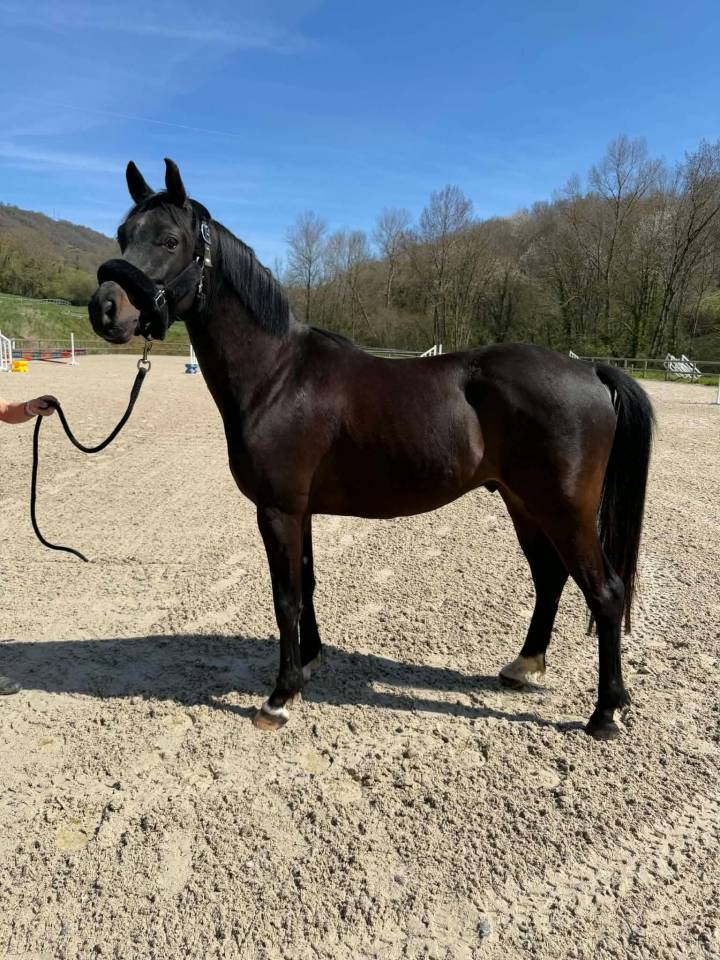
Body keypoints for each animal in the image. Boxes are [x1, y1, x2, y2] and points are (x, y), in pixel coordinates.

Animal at [88, 159, 654, 741]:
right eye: (123, 234)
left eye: (170, 239)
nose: (105, 309)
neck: (278, 374)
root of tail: (589, 369)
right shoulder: (300, 510)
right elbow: (307, 584)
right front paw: (308, 665)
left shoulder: (277, 509)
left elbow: (285, 596)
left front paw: (279, 697)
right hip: (523, 502)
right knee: (550, 577)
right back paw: (523, 667)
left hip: (564, 509)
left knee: (605, 592)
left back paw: (605, 712)